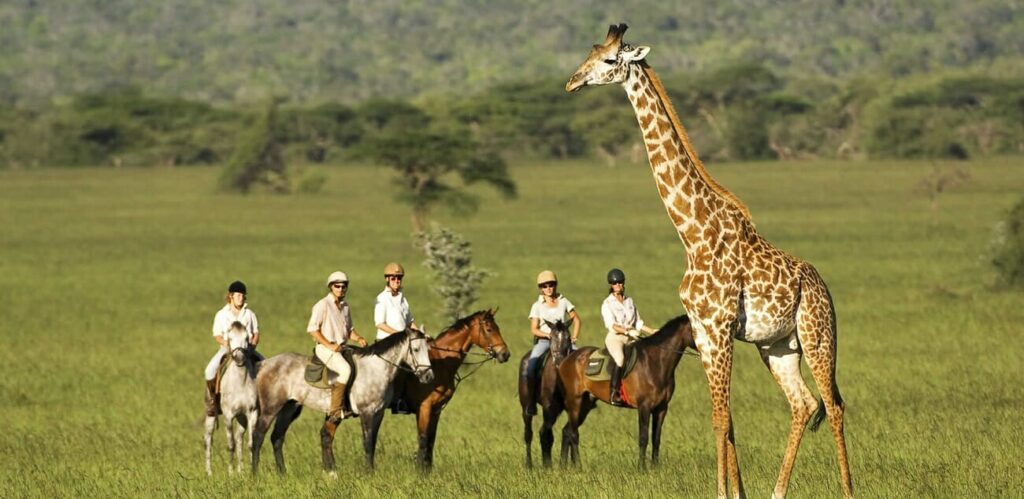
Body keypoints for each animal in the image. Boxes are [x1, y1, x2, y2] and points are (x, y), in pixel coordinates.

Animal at [203, 321, 260, 475]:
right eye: (230, 338)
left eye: (247, 337)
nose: (239, 358)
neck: (240, 382)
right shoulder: (228, 416)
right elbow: (230, 445)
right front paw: (230, 473)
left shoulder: (252, 413)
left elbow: (250, 444)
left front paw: (253, 472)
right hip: (211, 416)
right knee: (208, 440)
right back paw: (209, 473)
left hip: (241, 417)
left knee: (239, 437)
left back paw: (241, 470)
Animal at [250, 329, 434, 474]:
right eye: (416, 349)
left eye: (428, 349)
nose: (428, 377)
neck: (376, 369)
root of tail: (265, 363)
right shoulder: (367, 412)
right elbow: (367, 443)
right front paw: (369, 473)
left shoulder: (378, 413)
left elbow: (373, 442)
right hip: (271, 408)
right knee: (258, 436)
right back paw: (255, 474)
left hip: (289, 409)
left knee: (277, 438)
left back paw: (283, 473)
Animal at [391, 309, 511, 471]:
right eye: (489, 329)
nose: (505, 354)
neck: (440, 363)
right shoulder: (424, 407)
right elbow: (423, 438)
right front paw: (420, 471)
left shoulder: (436, 409)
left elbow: (431, 440)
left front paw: (427, 471)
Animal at [517, 319, 573, 468]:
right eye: (551, 337)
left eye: (568, 337)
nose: (559, 360)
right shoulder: (549, 407)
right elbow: (547, 435)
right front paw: (548, 465)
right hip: (526, 408)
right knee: (529, 434)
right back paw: (529, 465)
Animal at [557, 314, 694, 469]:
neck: (655, 363)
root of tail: (566, 360)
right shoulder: (644, 406)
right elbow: (643, 438)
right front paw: (642, 468)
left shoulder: (661, 408)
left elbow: (656, 438)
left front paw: (655, 467)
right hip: (575, 401)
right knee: (573, 433)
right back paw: (579, 466)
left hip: (585, 404)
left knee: (567, 431)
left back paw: (564, 466)